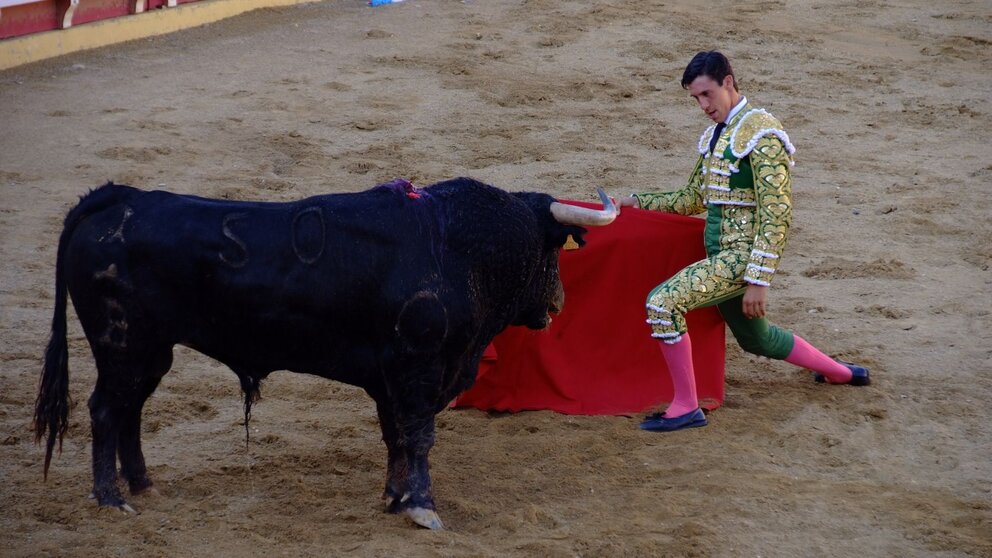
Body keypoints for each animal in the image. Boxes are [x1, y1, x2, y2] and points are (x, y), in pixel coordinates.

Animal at [35, 177, 616, 532]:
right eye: (553, 246)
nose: (559, 302)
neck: (456, 246)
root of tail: (115, 197)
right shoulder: (419, 371)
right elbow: (419, 437)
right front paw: (422, 508)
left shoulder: (390, 379)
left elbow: (395, 438)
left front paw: (394, 497)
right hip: (123, 345)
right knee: (106, 410)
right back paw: (111, 498)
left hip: (151, 351)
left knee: (129, 411)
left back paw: (143, 485)